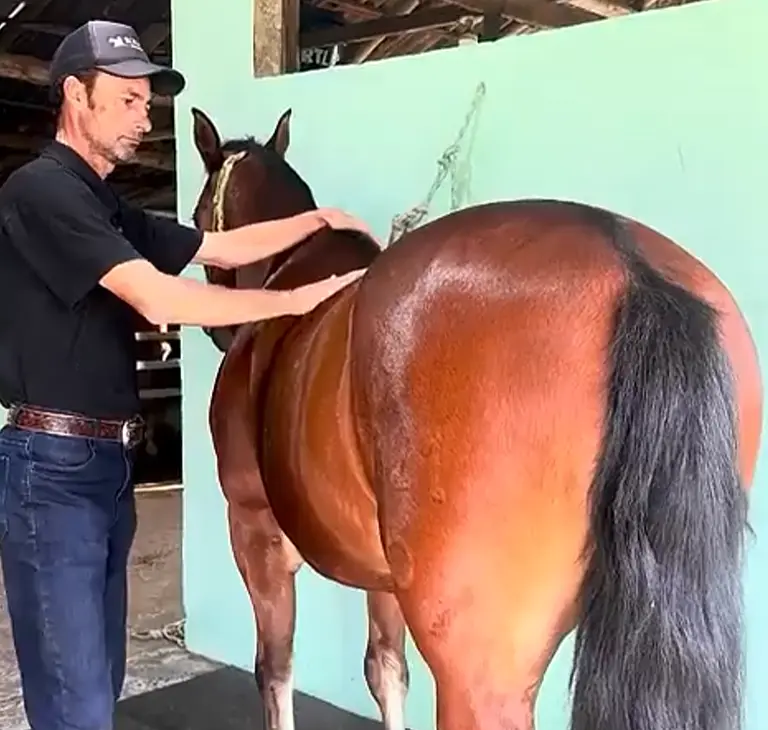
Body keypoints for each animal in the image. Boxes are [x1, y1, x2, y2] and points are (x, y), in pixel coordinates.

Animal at [188, 105, 763, 730]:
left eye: (196, 214)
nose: (218, 332)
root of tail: (632, 268)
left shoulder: (254, 530)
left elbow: (276, 670)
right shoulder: (385, 573)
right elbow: (386, 670)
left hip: (478, 669)